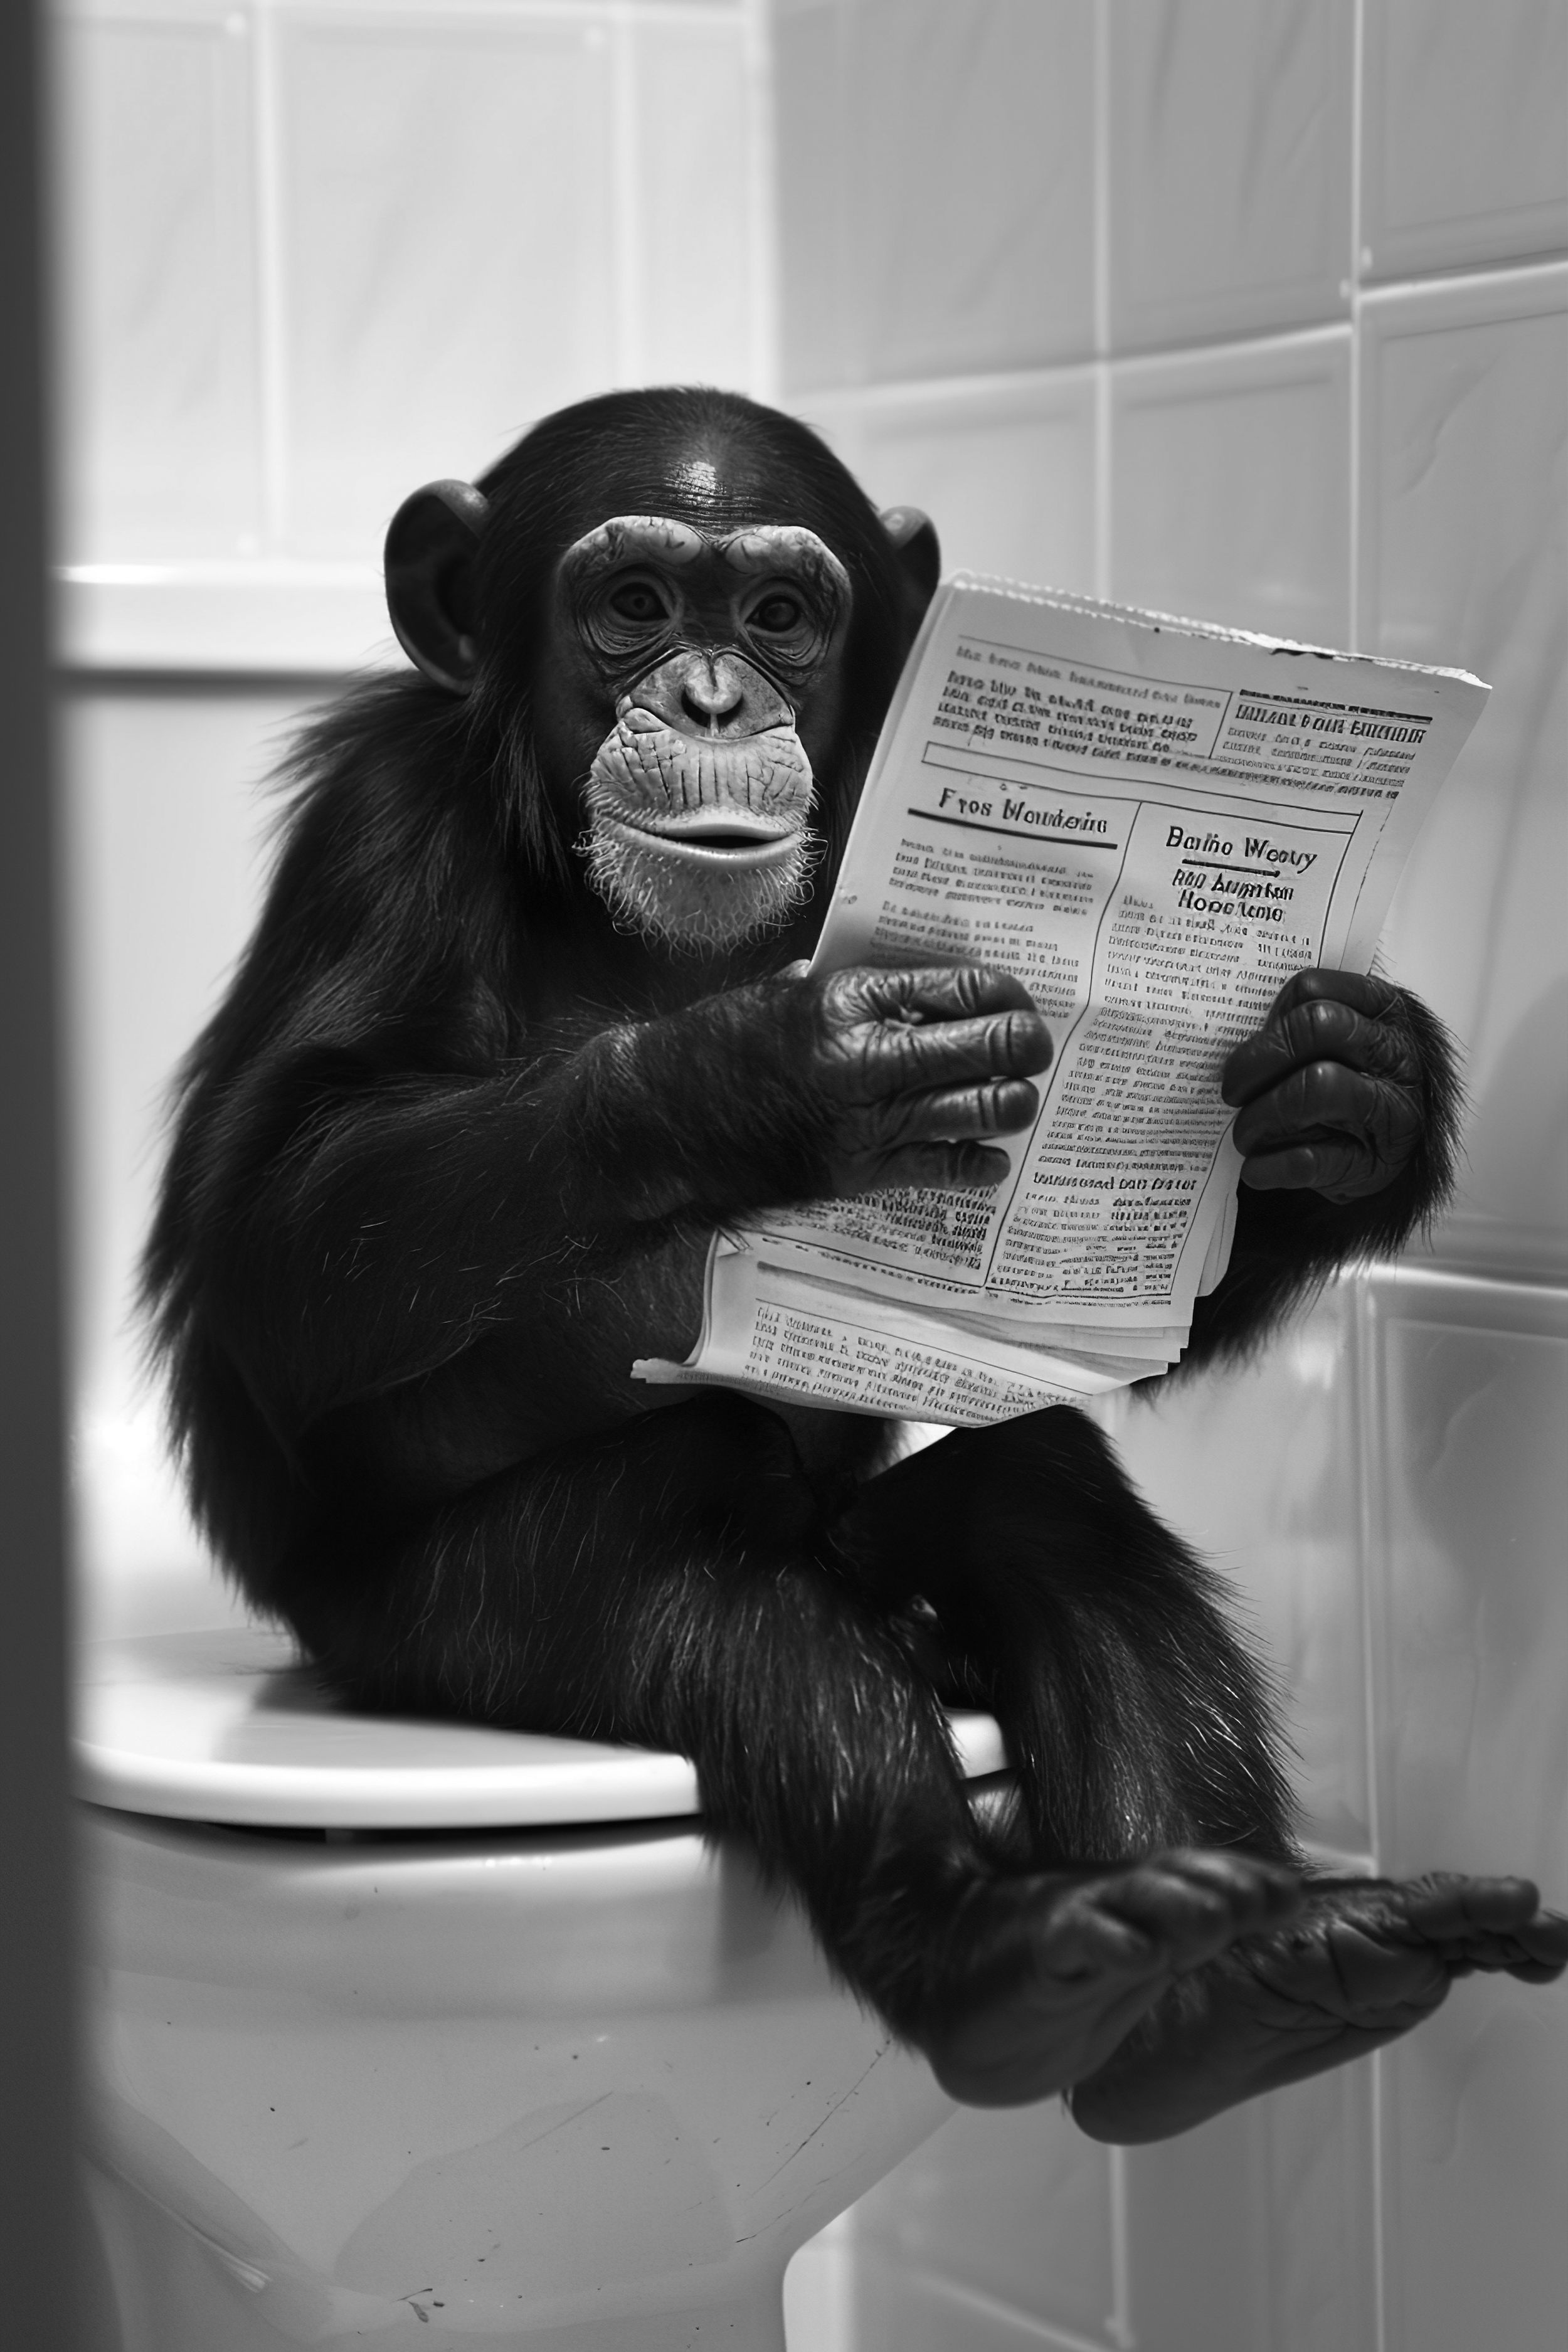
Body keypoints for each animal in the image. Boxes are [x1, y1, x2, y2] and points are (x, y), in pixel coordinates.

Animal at [144, 387, 1566, 2137]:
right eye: (634, 604)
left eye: (776, 613)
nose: (712, 690)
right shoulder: (377, 827)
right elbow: (276, 1233)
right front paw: (776, 1074)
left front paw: (1354, 1086)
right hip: (414, 1634)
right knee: (681, 1536)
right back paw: (988, 1950)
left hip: (896, 1562)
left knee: (1033, 1492)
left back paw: (1238, 1977)